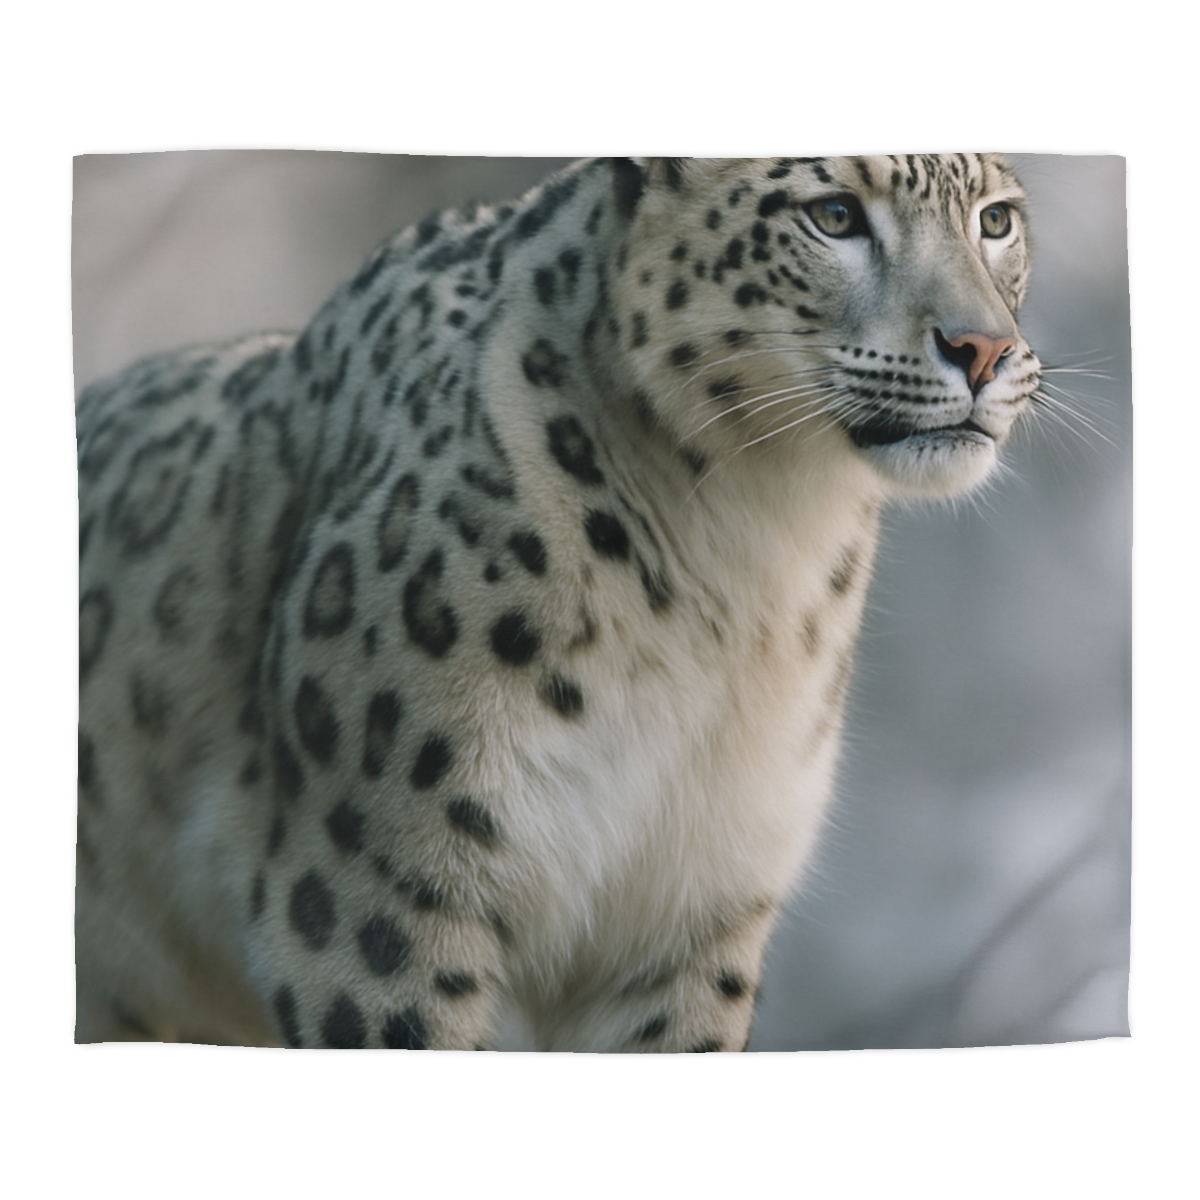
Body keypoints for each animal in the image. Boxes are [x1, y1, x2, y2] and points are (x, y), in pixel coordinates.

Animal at [76, 155, 1041, 1051]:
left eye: (994, 219)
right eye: (834, 214)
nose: (984, 350)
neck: (749, 559)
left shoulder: (692, 913)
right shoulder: (376, 891)